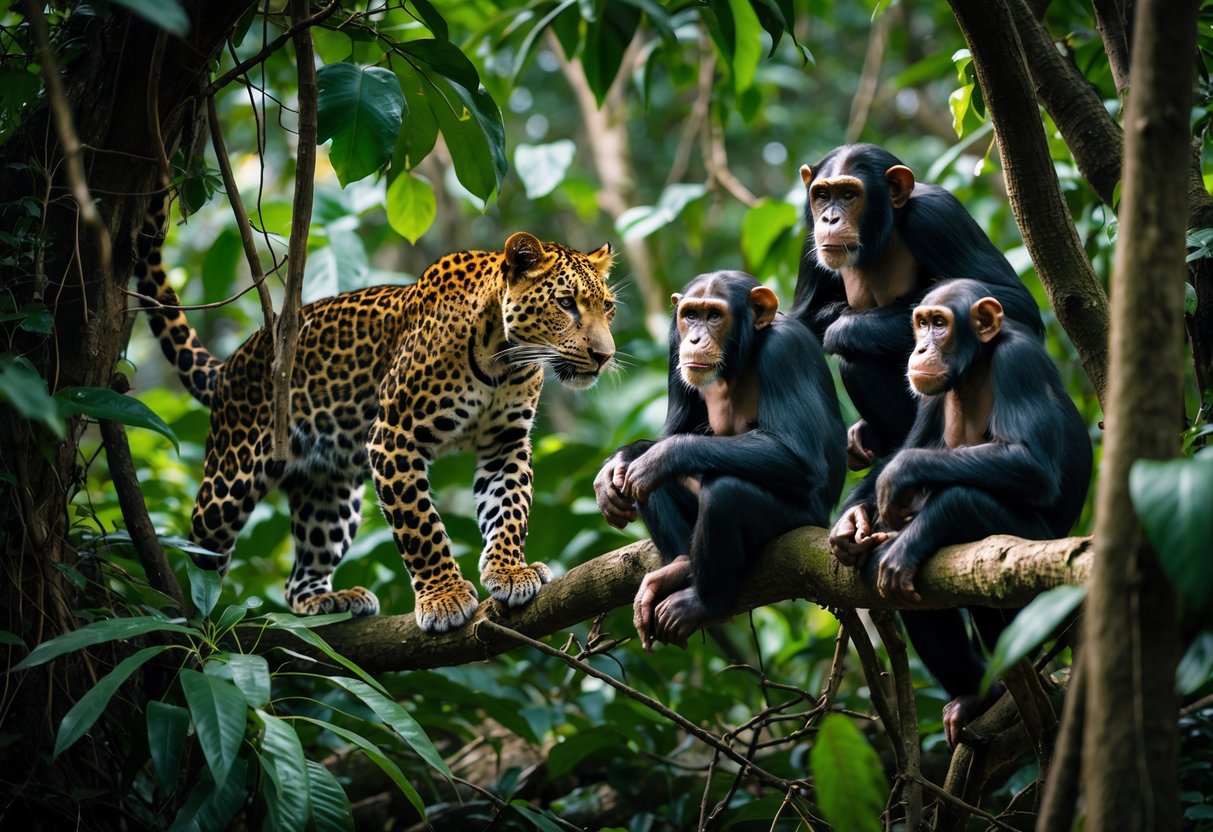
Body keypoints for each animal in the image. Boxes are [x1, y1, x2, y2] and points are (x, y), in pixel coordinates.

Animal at [134, 200, 616, 633]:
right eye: (566, 303)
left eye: (608, 308)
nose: (604, 355)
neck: (504, 359)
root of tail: (230, 364)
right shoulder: (394, 435)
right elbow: (419, 525)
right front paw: (444, 597)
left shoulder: (505, 443)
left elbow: (509, 509)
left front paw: (510, 571)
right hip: (228, 482)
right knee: (203, 549)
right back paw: (195, 612)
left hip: (329, 495)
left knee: (298, 578)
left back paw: (328, 600)